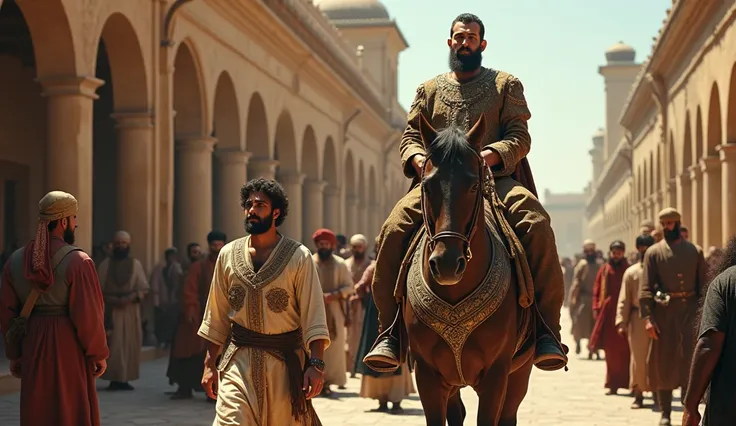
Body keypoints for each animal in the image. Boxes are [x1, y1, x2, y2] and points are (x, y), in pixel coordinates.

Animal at [402, 113, 536, 426]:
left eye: (474, 186)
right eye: (426, 186)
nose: (447, 264)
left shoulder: (497, 374)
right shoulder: (427, 374)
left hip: (520, 371)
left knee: (508, 415)